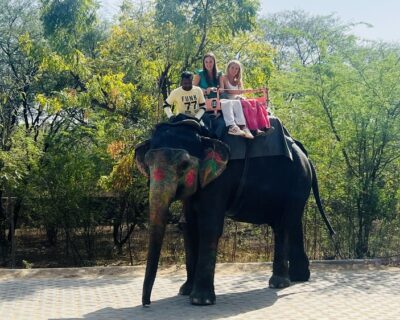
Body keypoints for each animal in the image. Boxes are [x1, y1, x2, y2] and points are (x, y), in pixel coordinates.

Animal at [134, 117, 334, 304]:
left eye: (183, 165)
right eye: (148, 164)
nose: (147, 303)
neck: (203, 134)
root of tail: (305, 154)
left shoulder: (222, 177)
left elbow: (209, 225)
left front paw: (200, 301)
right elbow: (189, 225)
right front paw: (185, 291)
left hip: (298, 180)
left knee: (284, 224)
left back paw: (279, 283)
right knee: (292, 222)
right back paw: (298, 278)